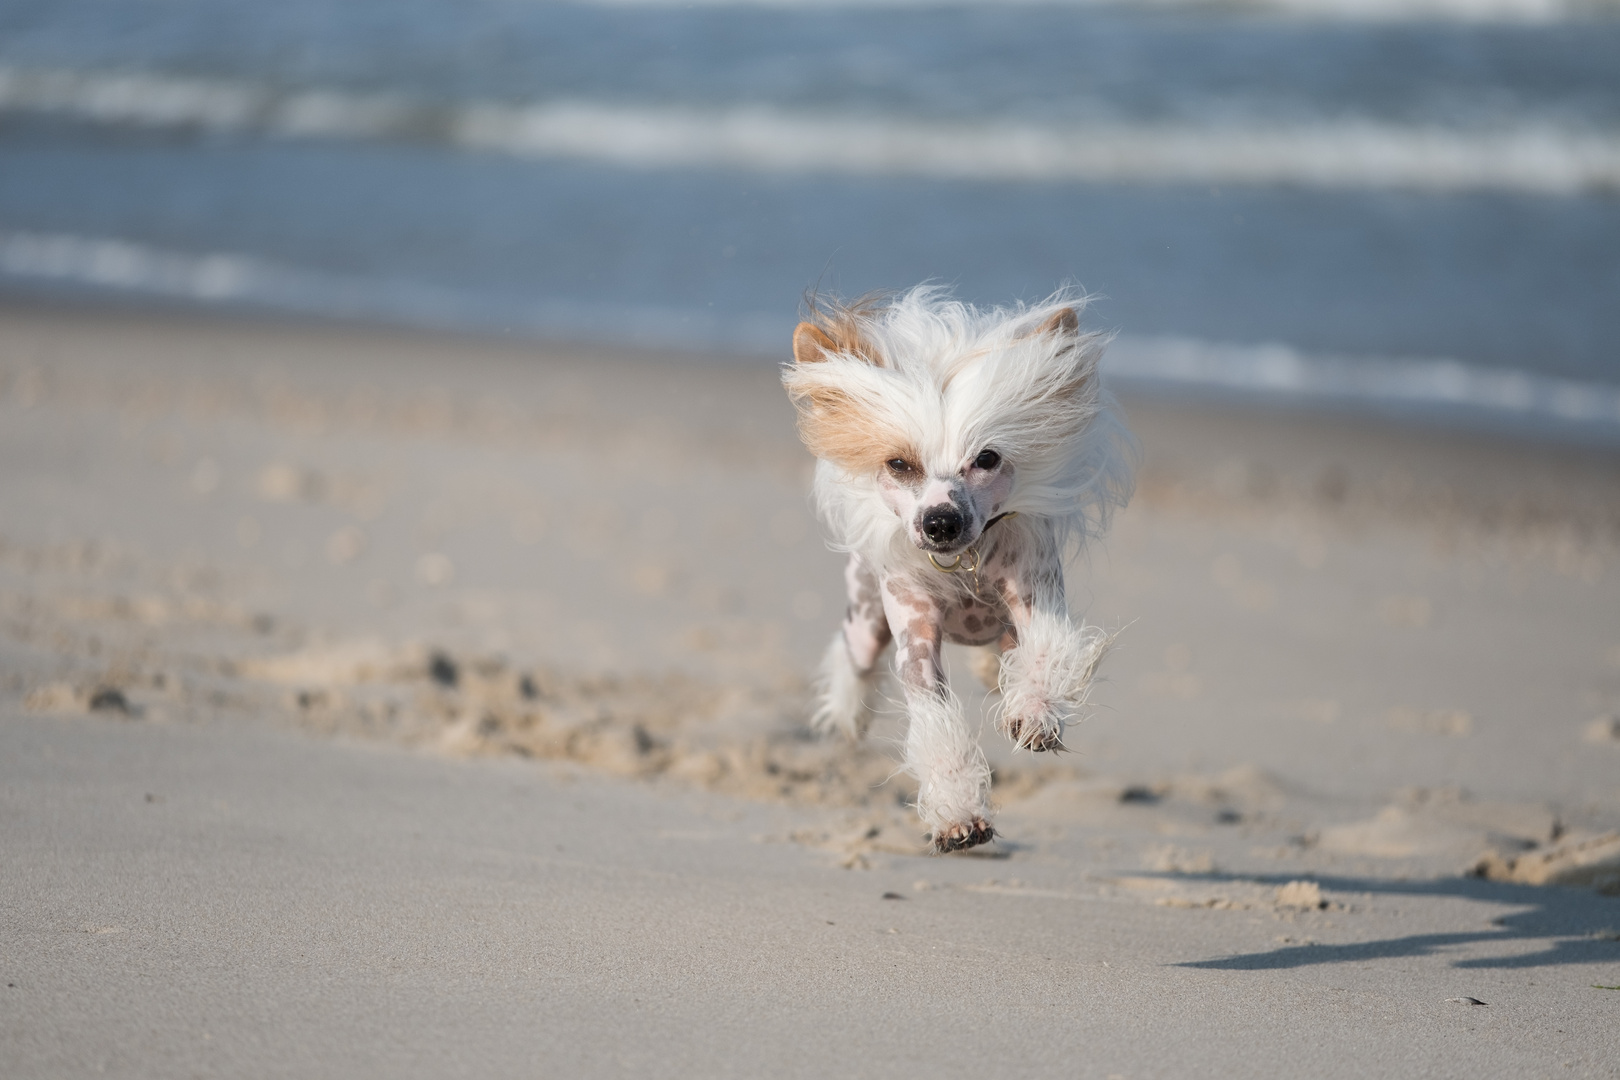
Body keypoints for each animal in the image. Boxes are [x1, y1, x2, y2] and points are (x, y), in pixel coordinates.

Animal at [777, 284, 1134, 854]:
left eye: (986, 458)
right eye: (899, 464)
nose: (940, 521)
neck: (962, 568)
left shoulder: (1033, 595)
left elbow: (1045, 653)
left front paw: (1034, 714)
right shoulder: (915, 635)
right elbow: (935, 714)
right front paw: (959, 813)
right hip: (865, 618)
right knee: (854, 659)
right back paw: (847, 714)